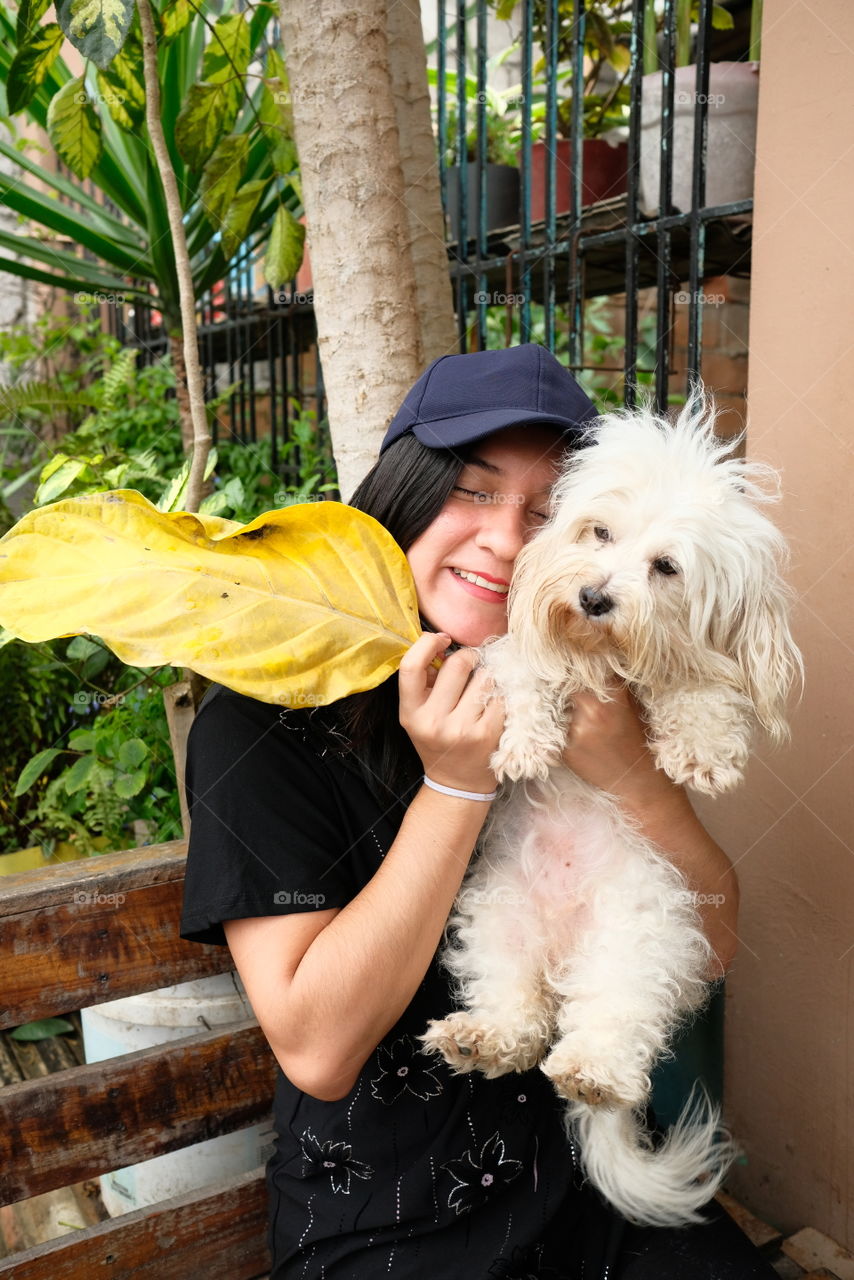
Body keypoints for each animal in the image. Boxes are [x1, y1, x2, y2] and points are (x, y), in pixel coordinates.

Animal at [419, 391, 804, 1228]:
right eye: (599, 533)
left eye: (665, 567)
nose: (593, 596)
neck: (602, 657)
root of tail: (565, 957)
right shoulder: (512, 650)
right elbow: (524, 676)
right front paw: (526, 743)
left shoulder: (692, 673)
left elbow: (700, 688)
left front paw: (702, 748)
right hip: (497, 921)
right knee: (520, 1017)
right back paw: (481, 1037)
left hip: (641, 939)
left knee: (607, 1024)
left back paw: (591, 1070)